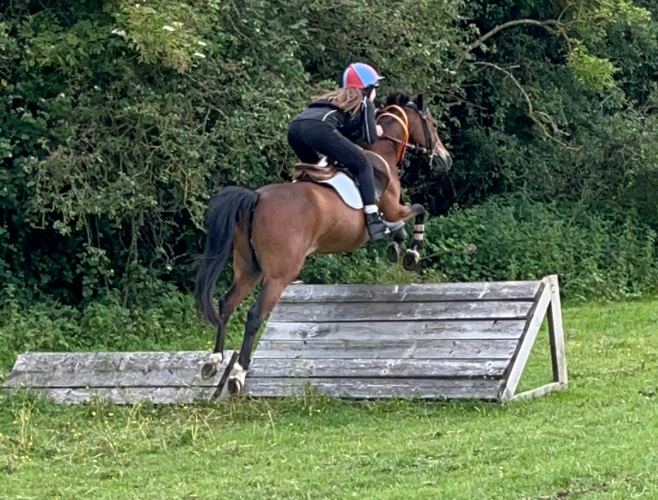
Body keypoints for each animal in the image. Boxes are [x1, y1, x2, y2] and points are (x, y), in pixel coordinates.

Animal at [194, 90, 452, 396]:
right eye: (432, 123)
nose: (446, 159)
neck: (383, 152)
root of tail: (256, 198)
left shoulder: (393, 213)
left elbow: (403, 224)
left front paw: (397, 246)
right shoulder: (393, 208)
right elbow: (419, 209)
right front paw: (412, 252)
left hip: (248, 268)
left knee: (227, 303)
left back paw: (213, 361)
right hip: (280, 274)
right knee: (255, 314)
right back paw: (238, 374)